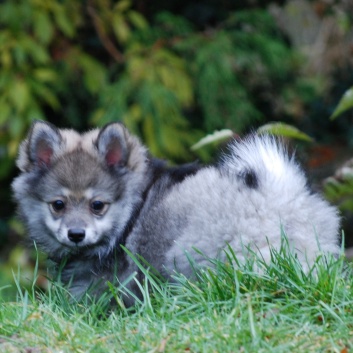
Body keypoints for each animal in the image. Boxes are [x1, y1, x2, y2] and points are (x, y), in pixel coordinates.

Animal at [13, 120, 338, 302]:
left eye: (97, 206)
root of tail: (281, 198)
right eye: (58, 205)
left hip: (191, 252)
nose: (76, 234)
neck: (131, 212)